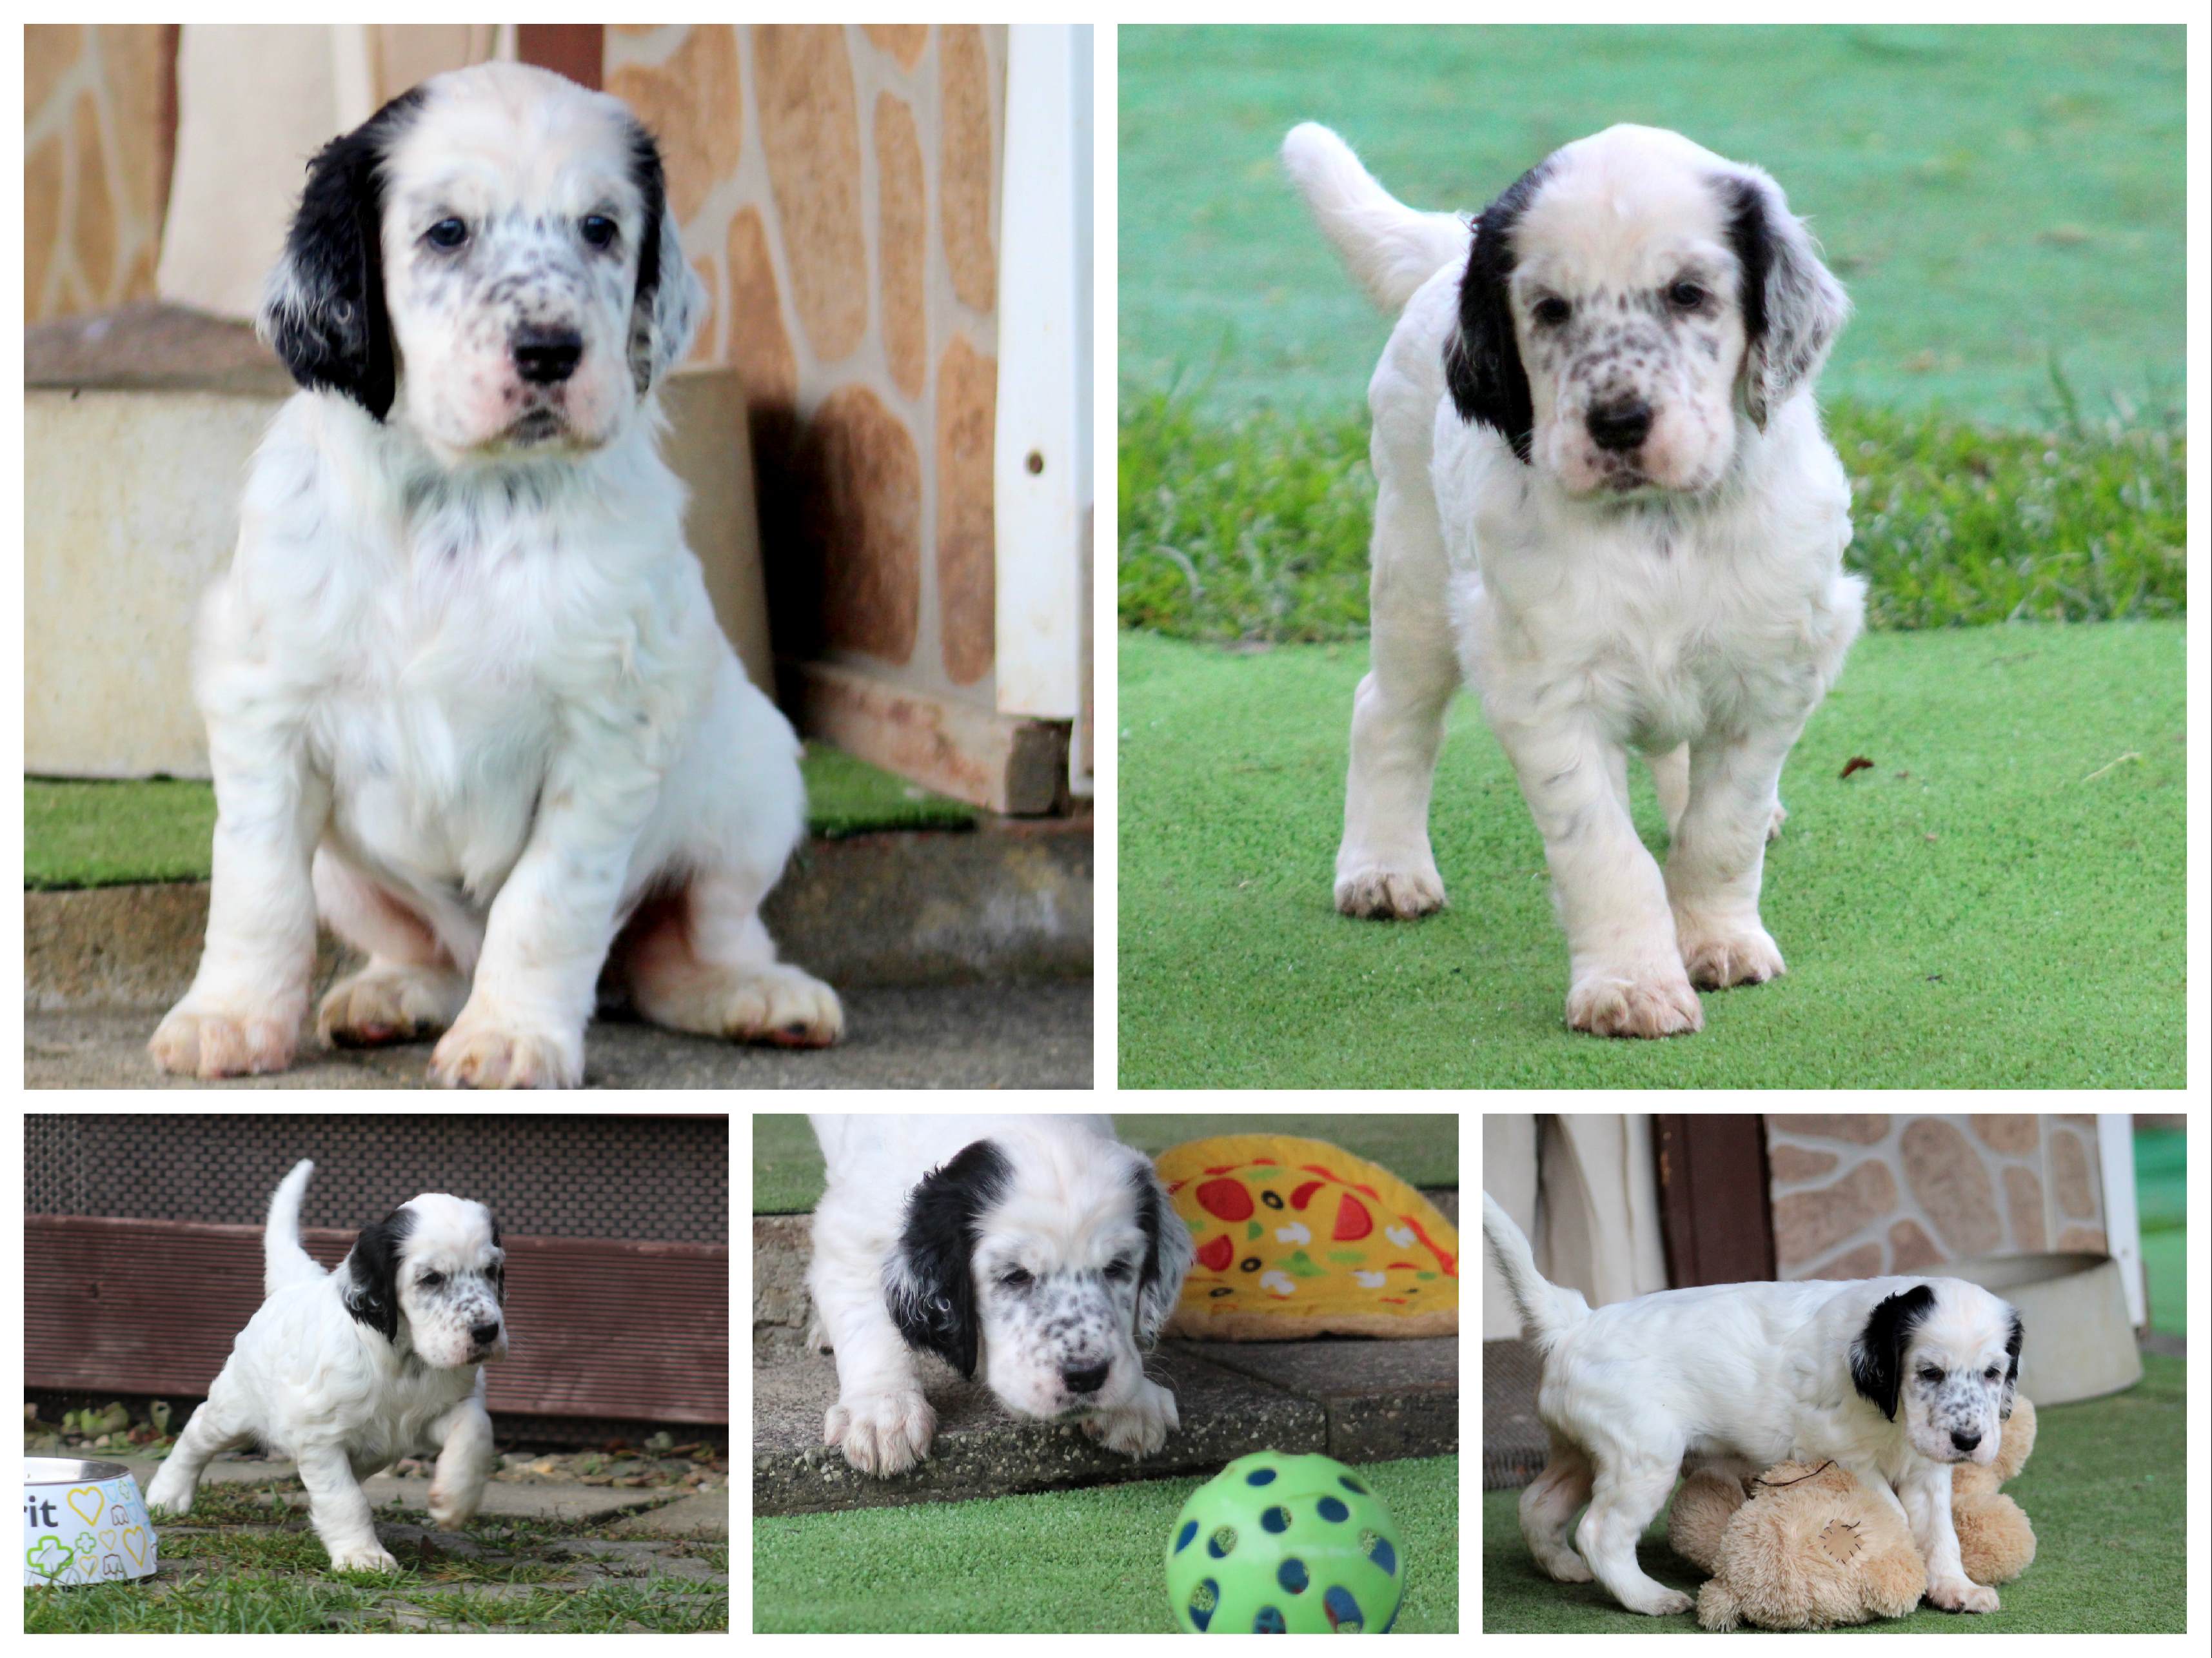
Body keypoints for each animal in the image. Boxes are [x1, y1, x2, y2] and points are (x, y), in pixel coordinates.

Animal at [145, 1160, 508, 1571]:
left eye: (492, 1271)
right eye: (431, 1278)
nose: (487, 1331)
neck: (403, 1360)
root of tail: (293, 1286)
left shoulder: (441, 1409)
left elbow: (475, 1430)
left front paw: (454, 1502)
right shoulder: (319, 1436)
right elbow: (344, 1498)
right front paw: (362, 1556)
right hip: (235, 1409)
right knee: (196, 1434)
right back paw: (168, 1494)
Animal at [148, 62, 840, 1089]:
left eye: (600, 227)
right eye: (447, 232)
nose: (551, 351)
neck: (466, 500)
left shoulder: (609, 727)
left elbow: (547, 902)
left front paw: (512, 1036)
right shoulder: (266, 704)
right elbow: (257, 881)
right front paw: (228, 1017)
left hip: (754, 784)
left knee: (683, 949)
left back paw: (760, 997)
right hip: (349, 874)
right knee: (422, 945)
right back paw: (388, 995)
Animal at [805, 1114, 1196, 1476]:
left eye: (1117, 1268)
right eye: (1015, 1276)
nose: (1086, 1376)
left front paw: (1134, 1403)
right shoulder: (852, 1234)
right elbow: (868, 1323)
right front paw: (884, 1411)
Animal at [1283, 123, 1865, 1038]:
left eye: (1688, 294)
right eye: (1550, 308)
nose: (1618, 423)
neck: (1656, 523)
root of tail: (1446, 253)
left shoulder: (1773, 670)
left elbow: (1722, 827)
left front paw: (1719, 942)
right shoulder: (1546, 684)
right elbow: (1603, 850)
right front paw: (1631, 986)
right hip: (1415, 566)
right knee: (1388, 712)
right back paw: (1383, 868)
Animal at [1482, 1193, 2021, 1616]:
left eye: (1993, 1373)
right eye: (1929, 1373)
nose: (1969, 1440)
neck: (1892, 1413)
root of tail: (1575, 1321)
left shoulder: (1927, 1468)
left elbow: (1939, 1531)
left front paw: (1956, 1587)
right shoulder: (1839, 1453)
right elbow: (1898, 1517)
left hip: (1579, 1447)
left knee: (1538, 1503)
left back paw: (1563, 1567)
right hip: (1642, 1454)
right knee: (1599, 1531)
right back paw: (1651, 1597)